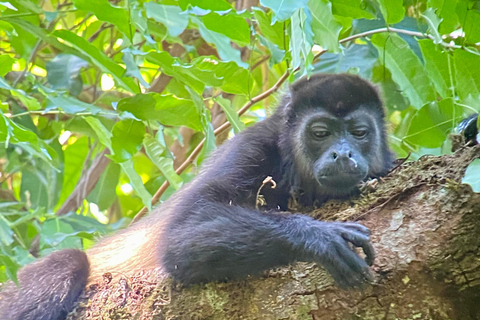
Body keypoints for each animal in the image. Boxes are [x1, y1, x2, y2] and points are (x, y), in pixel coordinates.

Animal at [0, 73, 394, 320]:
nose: (342, 154)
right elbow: (178, 238)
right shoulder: (253, 146)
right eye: (320, 133)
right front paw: (320, 237)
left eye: (359, 132)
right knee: (68, 262)